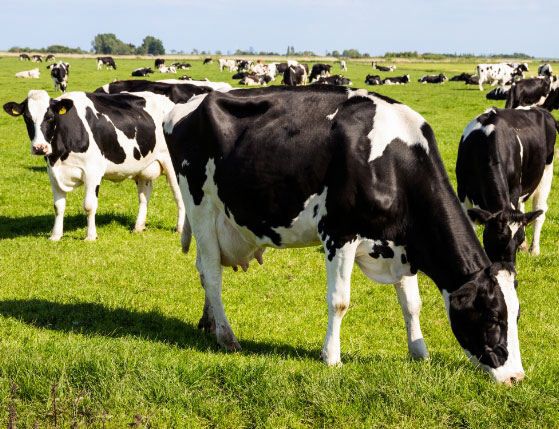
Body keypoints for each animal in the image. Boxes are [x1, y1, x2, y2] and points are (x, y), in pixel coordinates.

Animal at [3, 89, 186, 241]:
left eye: (50, 118)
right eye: (27, 118)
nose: (40, 147)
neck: (60, 155)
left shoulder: (92, 171)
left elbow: (89, 205)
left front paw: (90, 236)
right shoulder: (53, 173)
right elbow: (58, 206)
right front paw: (55, 236)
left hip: (172, 165)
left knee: (179, 195)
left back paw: (179, 228)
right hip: (142, 167)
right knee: (144, 195)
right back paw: (138, 226)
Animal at [164, 85, 528, 382]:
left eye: (516, 315)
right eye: (493, 317)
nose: (516, 377)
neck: (394, 163)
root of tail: (190, 103)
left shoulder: (403, 245)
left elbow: (412, 304)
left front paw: (420, 352)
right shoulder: (339, 233)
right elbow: (339, 301)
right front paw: (331, 357)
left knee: (203, 268)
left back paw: (209, 322)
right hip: (200, 205)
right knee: (212, 274)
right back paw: (227, 337)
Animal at [458, 107, 556, 260]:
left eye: (520, 239)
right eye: (498, 239)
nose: (510, 265)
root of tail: (541, 110)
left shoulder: (514, 189)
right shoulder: (462, 191)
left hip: (547, 169)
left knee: (540, 209)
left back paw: (534, 249)